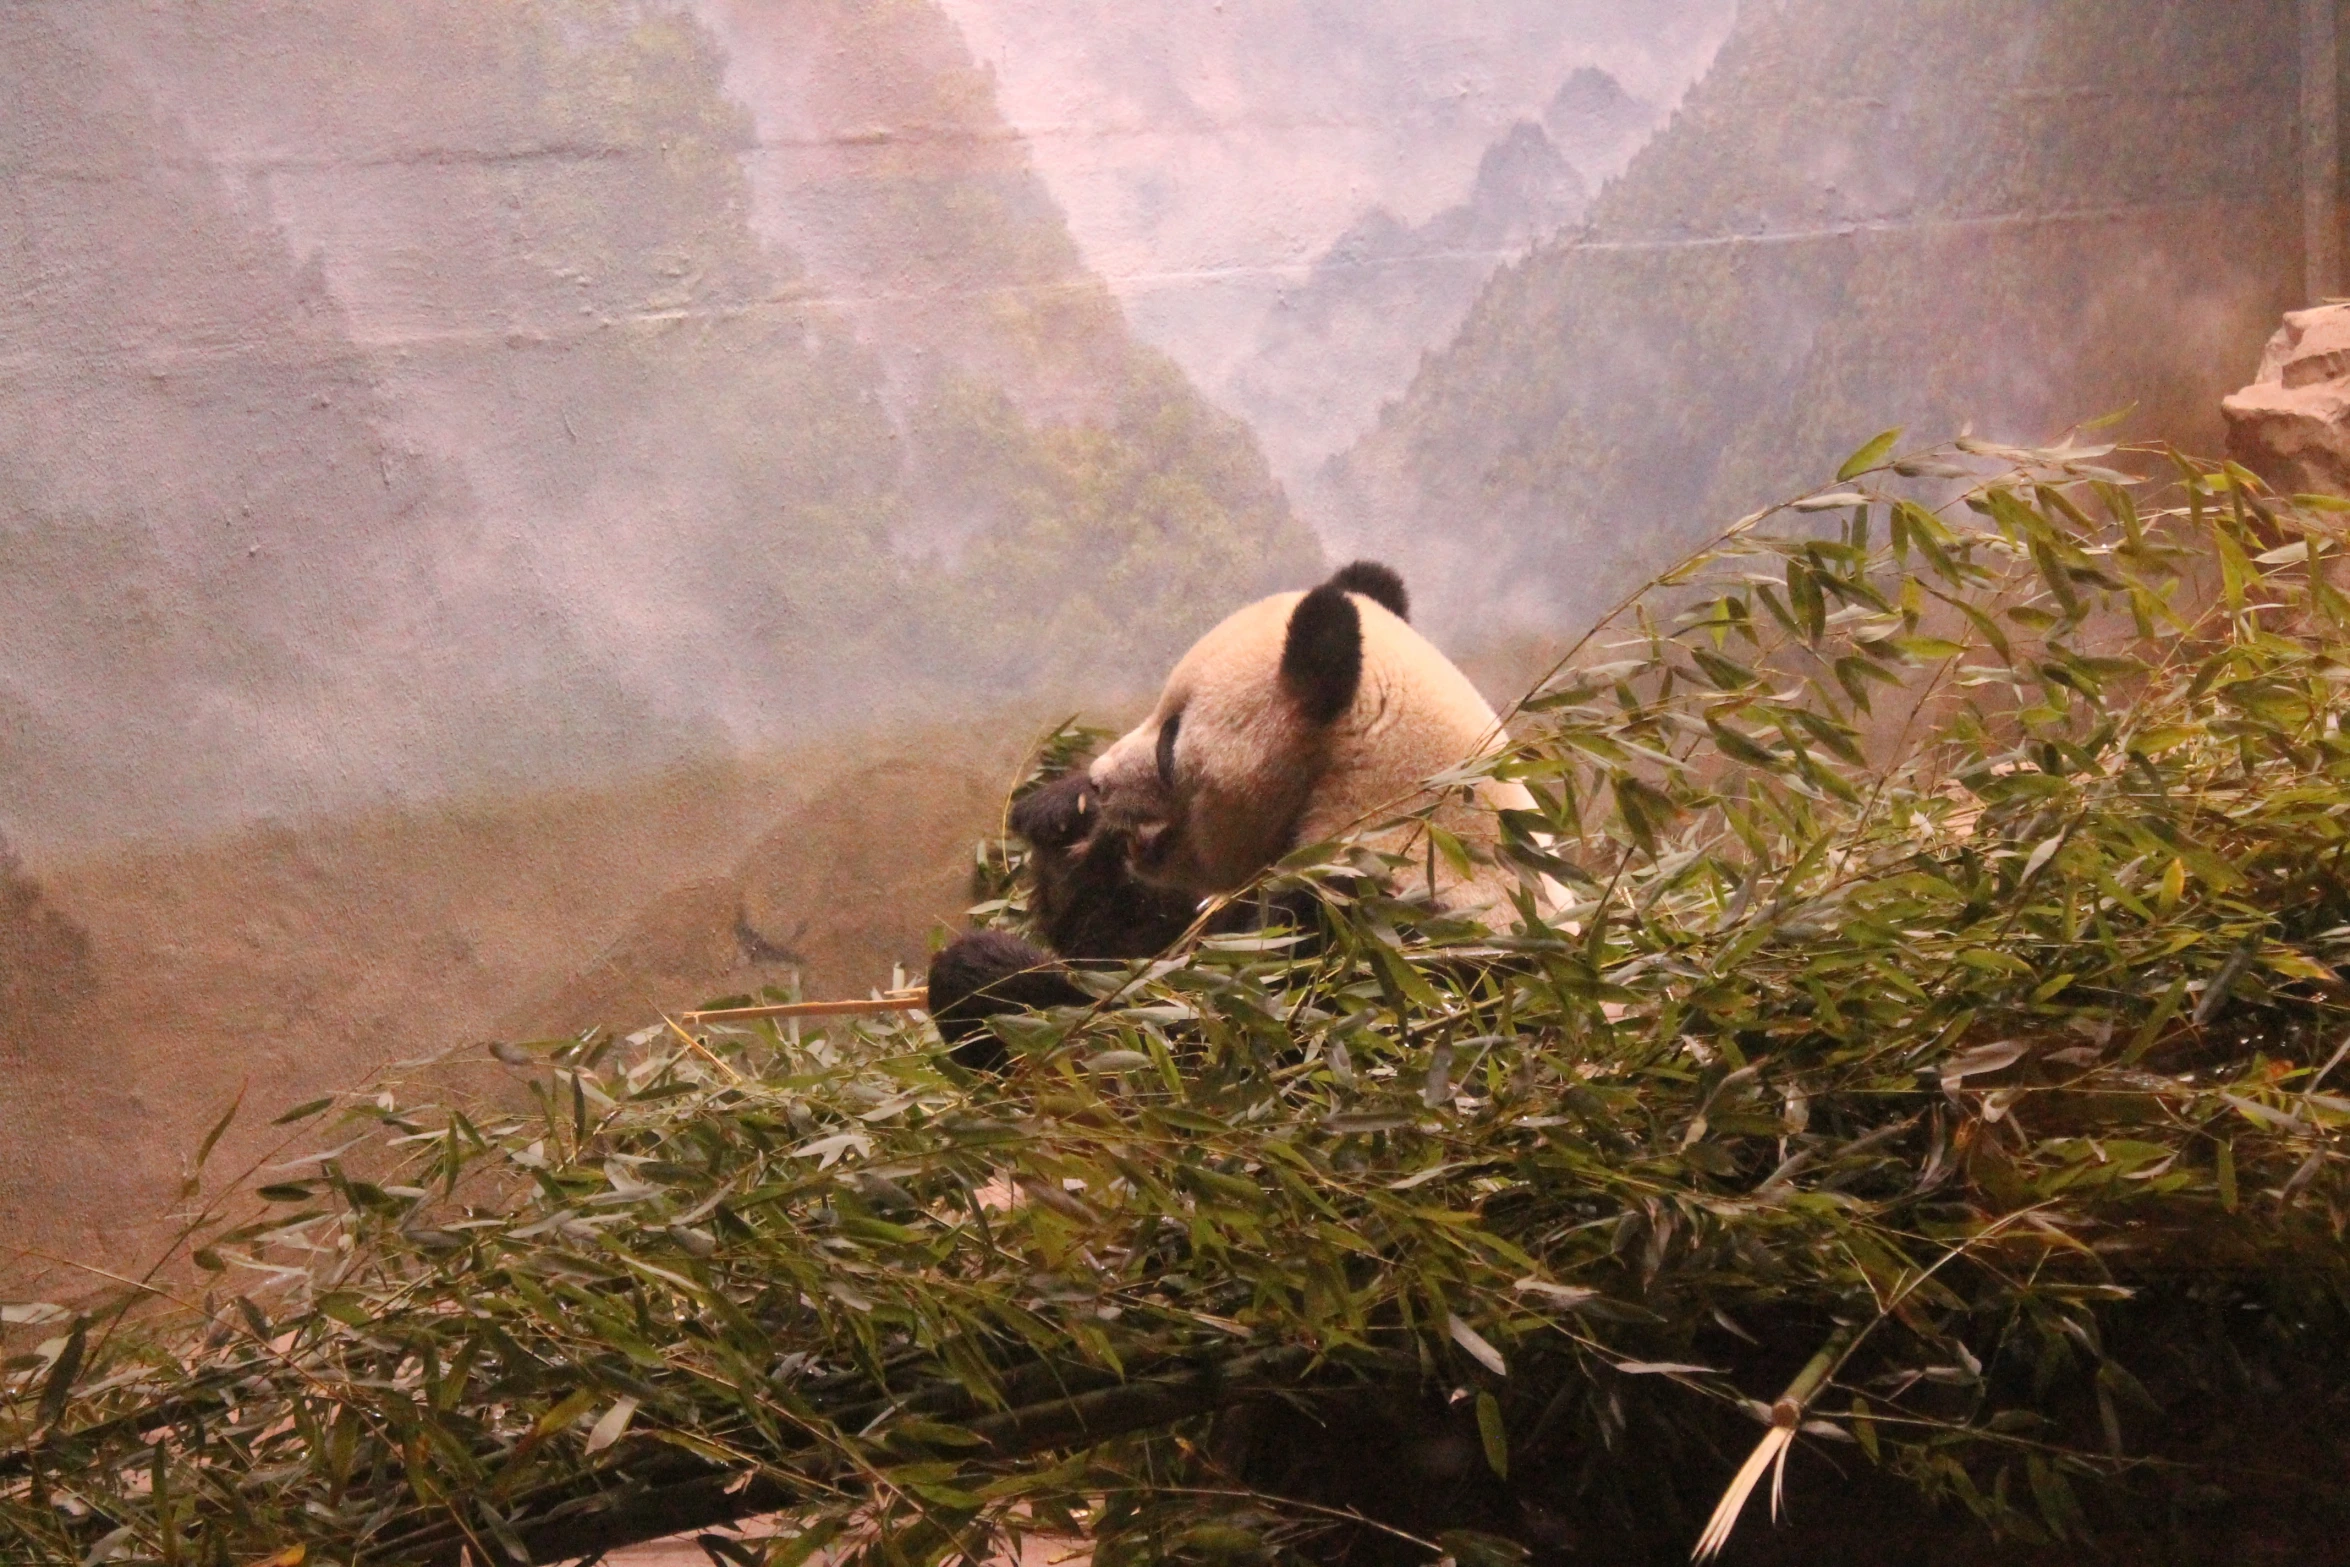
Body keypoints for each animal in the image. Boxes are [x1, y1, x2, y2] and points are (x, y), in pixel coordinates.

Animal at [935, 556, 1541, 1061]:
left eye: (1170, 738)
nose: (1103, 780)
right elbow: (1145, 940)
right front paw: (1062, 819)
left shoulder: (1366, 936)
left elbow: (1181, 1037)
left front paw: (981, 977)